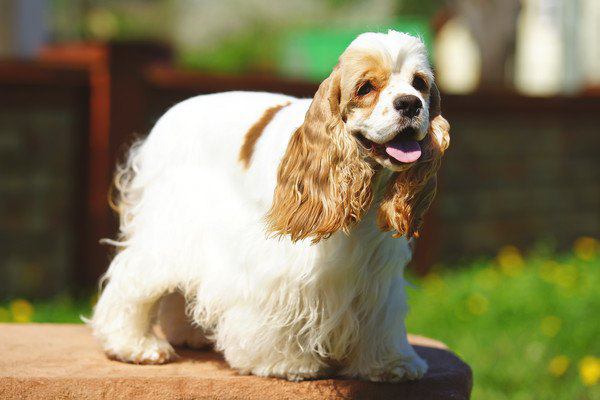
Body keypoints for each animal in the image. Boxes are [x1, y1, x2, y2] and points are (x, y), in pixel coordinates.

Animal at [91, 30, 450, 382]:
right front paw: (286, 363)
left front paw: (390, 363)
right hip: (169, 228)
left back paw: (190, 334)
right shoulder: (278, 267)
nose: (410, 103)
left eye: (419, 83)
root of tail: (171, 112)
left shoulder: (376, 269)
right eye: (366, 87)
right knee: (133, 281)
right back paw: (134, 344)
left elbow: (381, 314)